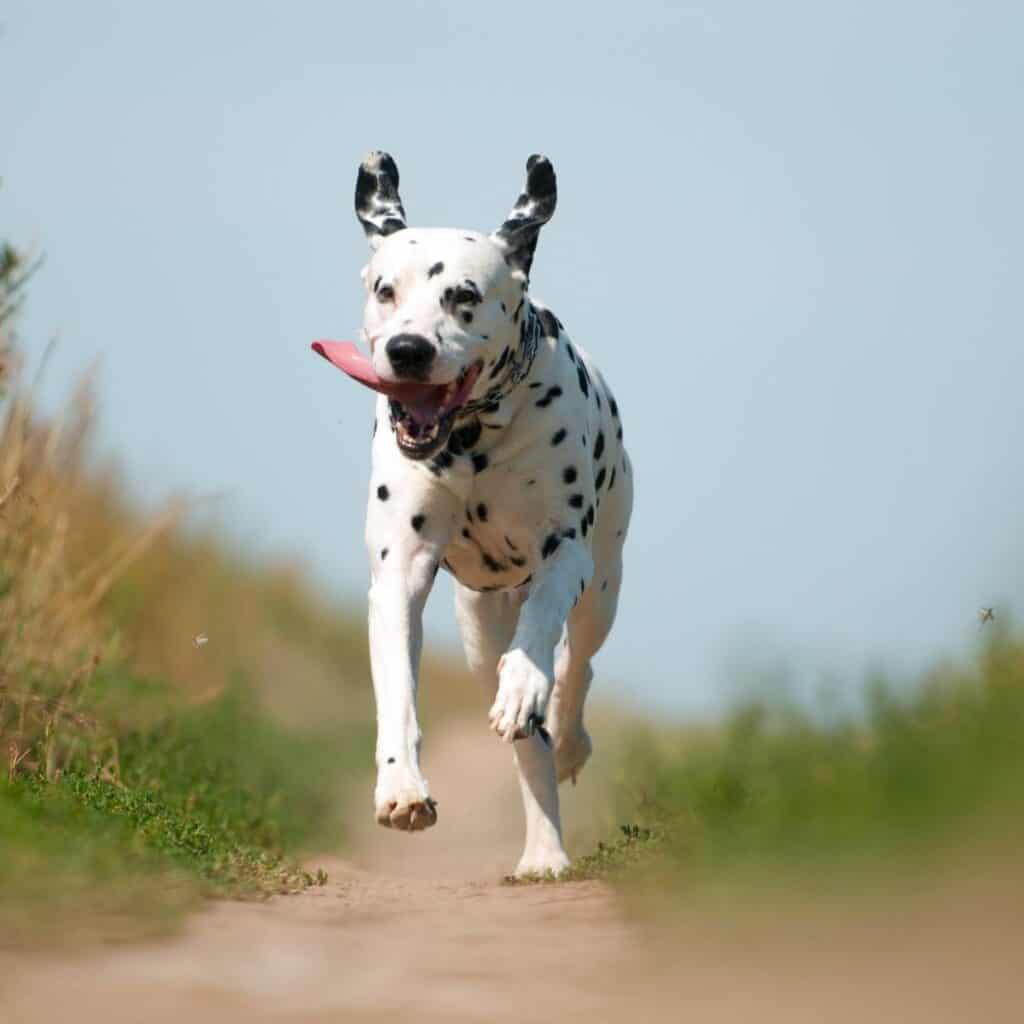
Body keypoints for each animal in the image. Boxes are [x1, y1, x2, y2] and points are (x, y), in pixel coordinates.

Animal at [313, 151, 630, 880]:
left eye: (465, 297)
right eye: (386, 291)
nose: (407, 350)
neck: (471, 438)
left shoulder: (564, 552)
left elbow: (541, 637)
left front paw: (526, 686)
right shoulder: (397, 576)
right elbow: (398, 694)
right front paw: (401, 789)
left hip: (603, 587)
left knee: (575, 669)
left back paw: (560, 749)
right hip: (479, 630)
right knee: (528, 751)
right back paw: (543, 848)